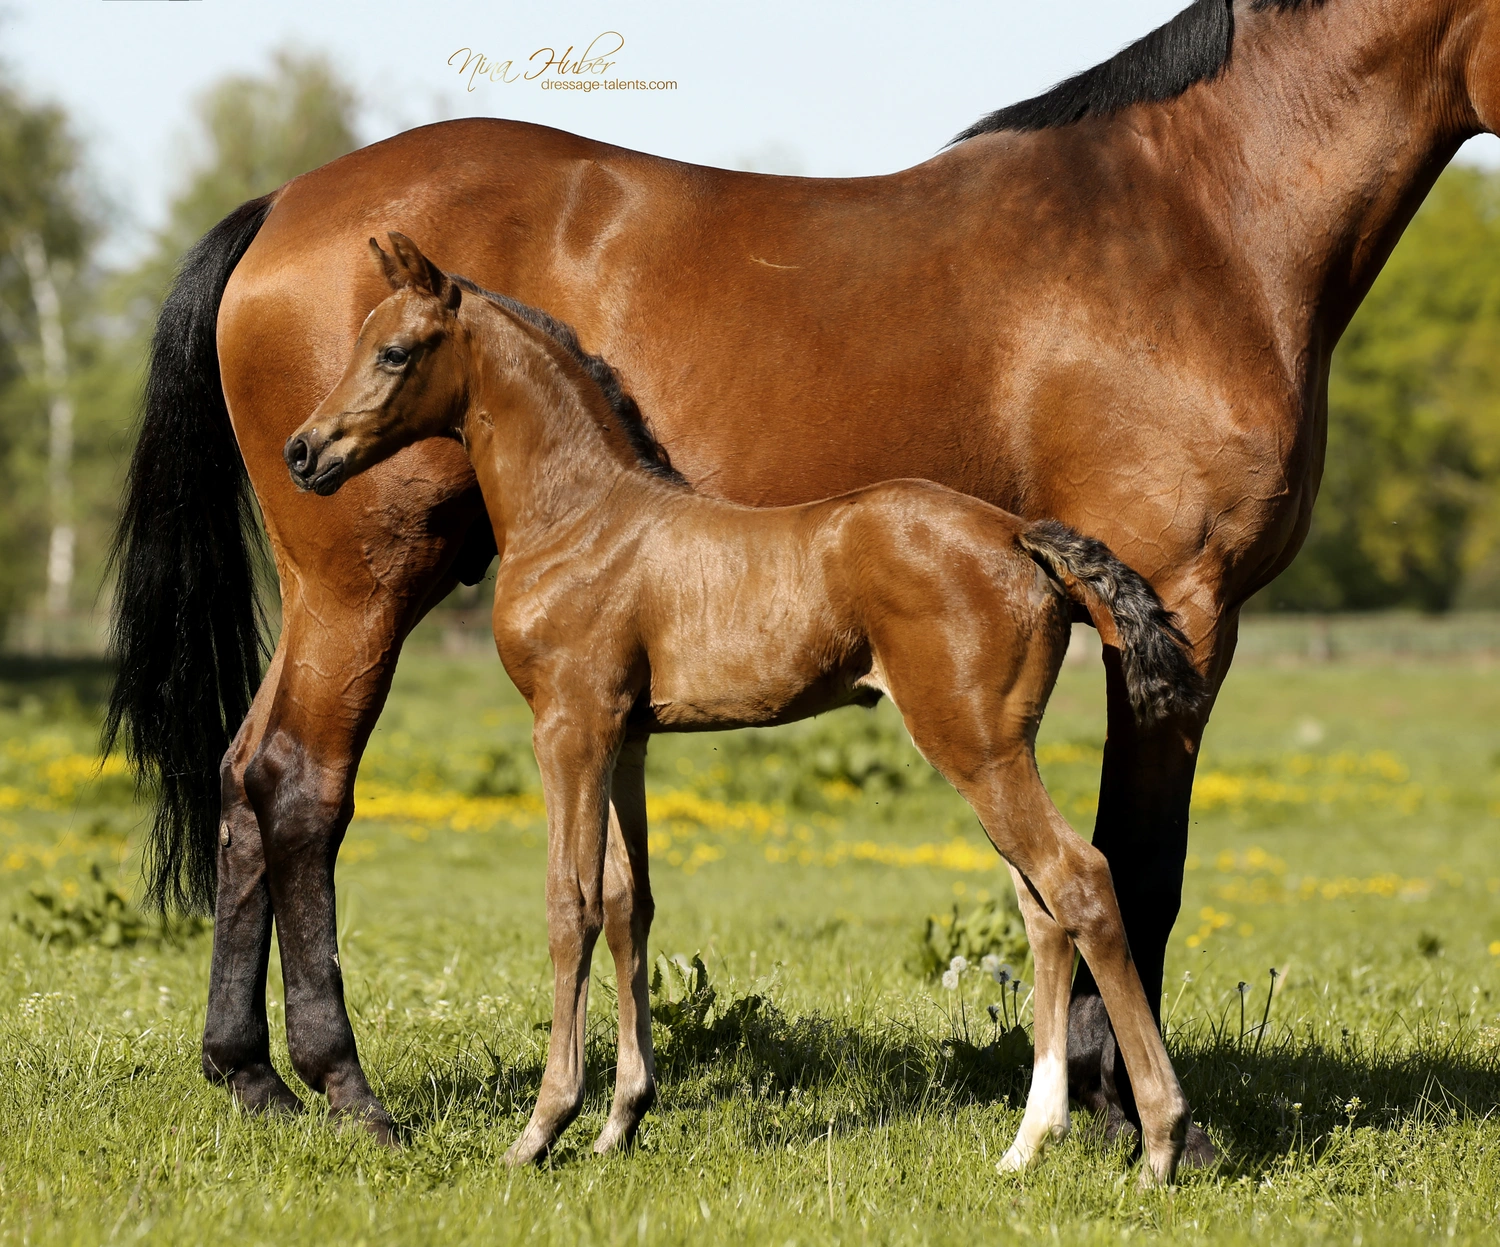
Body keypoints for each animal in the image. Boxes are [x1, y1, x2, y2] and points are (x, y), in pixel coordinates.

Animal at [278, 232, 1205, 1178]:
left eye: (395, 352)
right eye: (358, 342)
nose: (303, 453)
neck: (579, 517)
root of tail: (1020, 535)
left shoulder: (569, 725)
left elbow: (571, 904)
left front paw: (542, 1128)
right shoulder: (627, 738)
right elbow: (630, 904)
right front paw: (620, 1122)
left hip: (974, 746)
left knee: (1080, 882)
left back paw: (1160, 1141)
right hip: (993, 749)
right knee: (1041, 911)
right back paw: (1027, 1143)